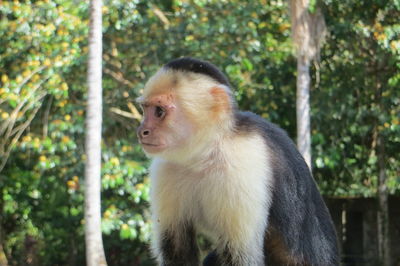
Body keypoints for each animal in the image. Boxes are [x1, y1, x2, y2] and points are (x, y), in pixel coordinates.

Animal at [136, 57, 340, 264]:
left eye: (159, 111)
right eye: (145, 110)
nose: (141, 131)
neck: (204, 154)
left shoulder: (242, 162)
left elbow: (240, 255)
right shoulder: (165, 169)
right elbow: (177, 249)